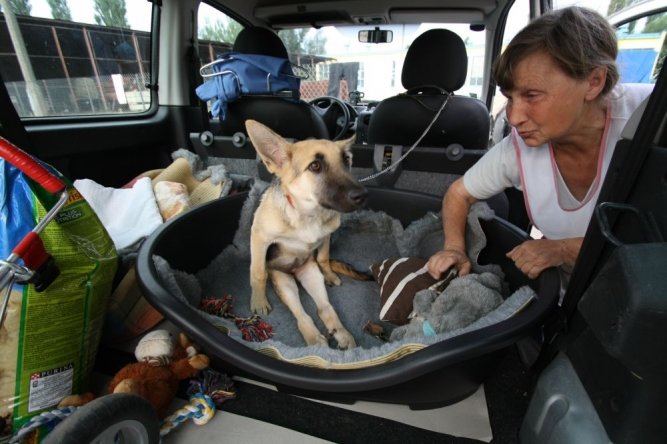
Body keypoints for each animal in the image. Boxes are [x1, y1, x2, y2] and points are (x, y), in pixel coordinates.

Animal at [247, 119, 370, 348]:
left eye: (346, 160)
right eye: (315, 166)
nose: (363, 195)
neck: (308, 215)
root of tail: (295, 272)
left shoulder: (326, 238)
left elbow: (324, 258)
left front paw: (330, 273)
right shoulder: (259, 237)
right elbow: (257, 272)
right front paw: (258, 300)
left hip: (311, 275)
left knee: (324, 308)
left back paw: (341, 334)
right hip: (284, 282)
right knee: (301, 314)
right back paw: (315, 339)